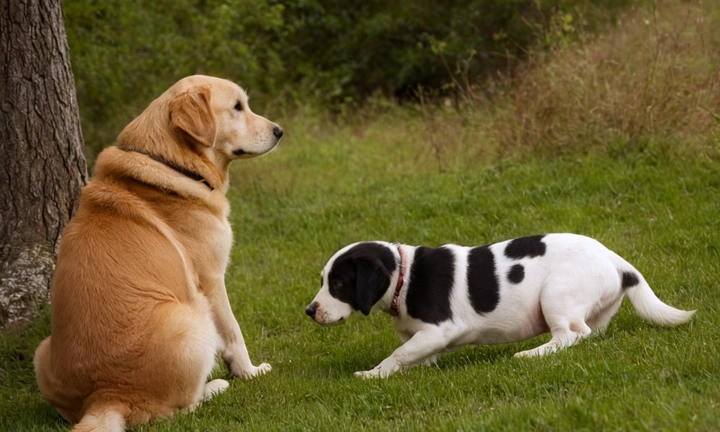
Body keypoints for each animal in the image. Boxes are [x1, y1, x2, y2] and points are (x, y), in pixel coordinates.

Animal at [33, 76, 282, 430]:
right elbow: (234, 335)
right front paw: (249, 372)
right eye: (237, 107)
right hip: (194, 319)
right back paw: (215, 387)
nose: (279, 131)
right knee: (176, 409)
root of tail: (108, 395)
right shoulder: (212, 280)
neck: (173, 164)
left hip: (42, 351)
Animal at [306, 233, 696, 378]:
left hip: (555, 296)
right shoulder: (423, 340)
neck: (405, 274)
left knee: (570, 335)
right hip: (596, 309)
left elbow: (397, 355)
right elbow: (410, 356)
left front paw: (373, 374)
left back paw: (531, 355)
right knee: (589, 334)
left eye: (337, 284)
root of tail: (616, 260)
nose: (310, 311)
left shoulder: (440, 330)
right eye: (324, 280)